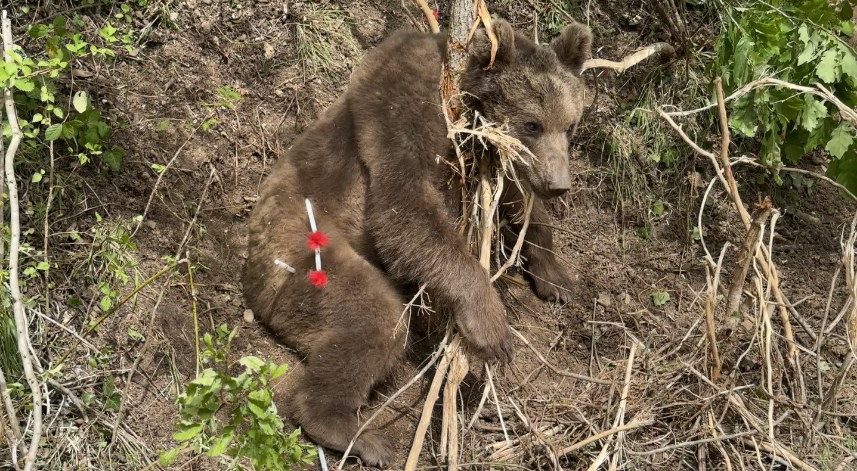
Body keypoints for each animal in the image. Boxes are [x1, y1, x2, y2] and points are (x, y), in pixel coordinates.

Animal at [241, 17, 588, 468]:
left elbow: (516, 200)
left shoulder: (488, 157)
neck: (462, 98)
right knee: (375, 318)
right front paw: (492, 328)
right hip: (301, 252)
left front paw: (556, 276)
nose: (558, 184)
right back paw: (355, 433)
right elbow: (404, 208)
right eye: (532, 124)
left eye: (570, 125)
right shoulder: (404, 107)